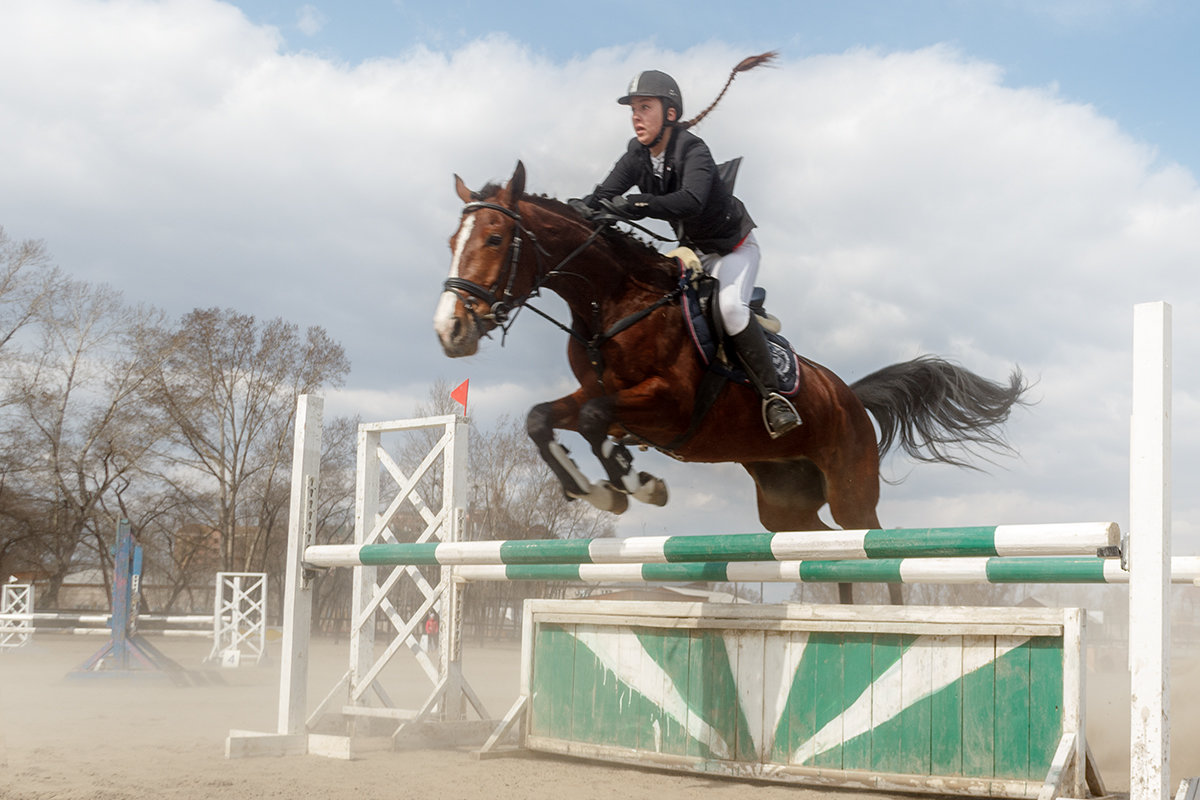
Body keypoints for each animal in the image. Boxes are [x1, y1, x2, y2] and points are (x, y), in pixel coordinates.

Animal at [436, 160, 1027, 599]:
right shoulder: (599, 393)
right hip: (784, 507)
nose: (450, 330)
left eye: (494, 239)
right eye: (451, 241)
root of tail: (850, 397)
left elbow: (594, 418)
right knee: (829, 550)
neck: (614, 300)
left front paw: (634, 486)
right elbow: (547, 418)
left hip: (851, 488)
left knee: (874, 548)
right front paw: (602, 488)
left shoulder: (670, 405)